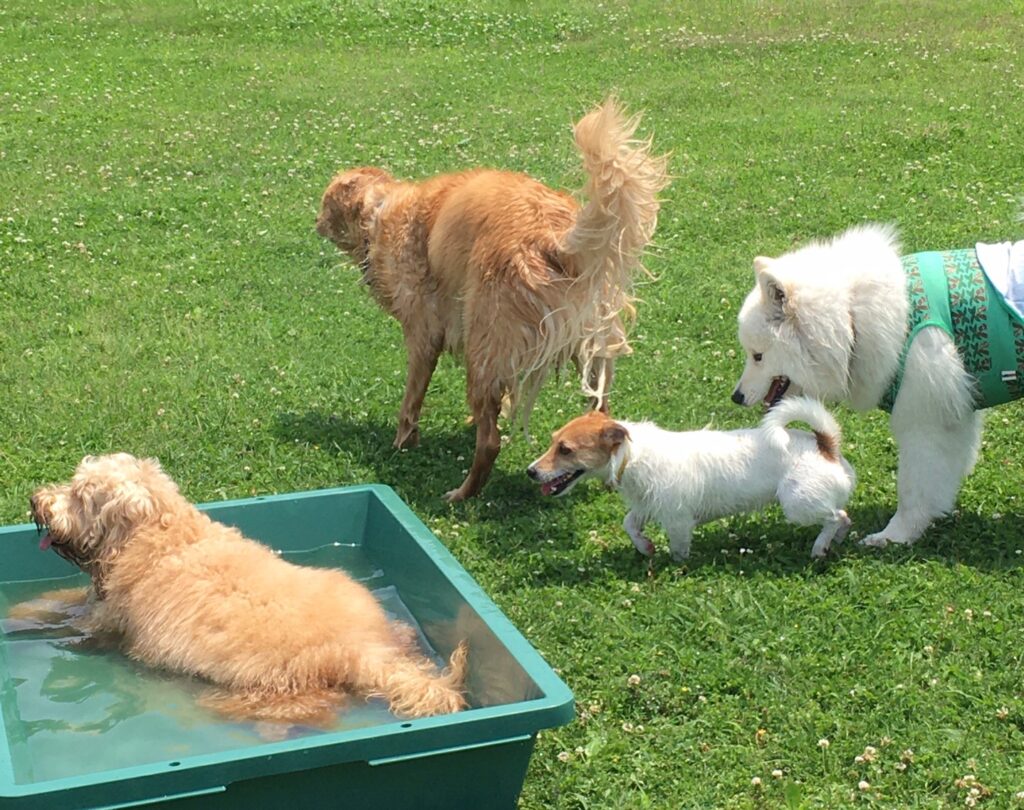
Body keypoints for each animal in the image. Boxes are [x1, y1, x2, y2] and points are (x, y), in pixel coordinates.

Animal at [29, 453, 467, 725]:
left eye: (80, 494)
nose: (37, 500)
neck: (158, 533)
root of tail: (364, 651)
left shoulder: (104, 621)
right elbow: (54, 601)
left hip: (271, 689)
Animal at [316, 98, 668, 501]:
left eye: (325, 204)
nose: (315, 222)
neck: (382, 211)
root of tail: (555, 238)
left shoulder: (423, 335)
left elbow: (411, 402)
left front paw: (402, 442)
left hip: (484, 345)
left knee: (490, 443)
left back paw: (462, 493)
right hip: (592, 351)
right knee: (602, 414)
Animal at [527, 397, 855, 560]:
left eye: (565, 449)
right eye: (553, 441)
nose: (531, 471)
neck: (632, 454)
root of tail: (825, 445)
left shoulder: (677, 519)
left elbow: (679, 550)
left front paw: (675, 564)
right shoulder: (646, 506)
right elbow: (629, 524)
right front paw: (644, 547)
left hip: (798, 505)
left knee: (836, 516)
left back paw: (820, 547)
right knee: (844, 517)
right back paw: (835, 541)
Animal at [733, 225, 1024, 547]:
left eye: (757, 356)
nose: (737, 396)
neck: (851, 317)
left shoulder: (925, 422)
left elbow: (913, 488)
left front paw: (895, 535)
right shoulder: (955, 416)